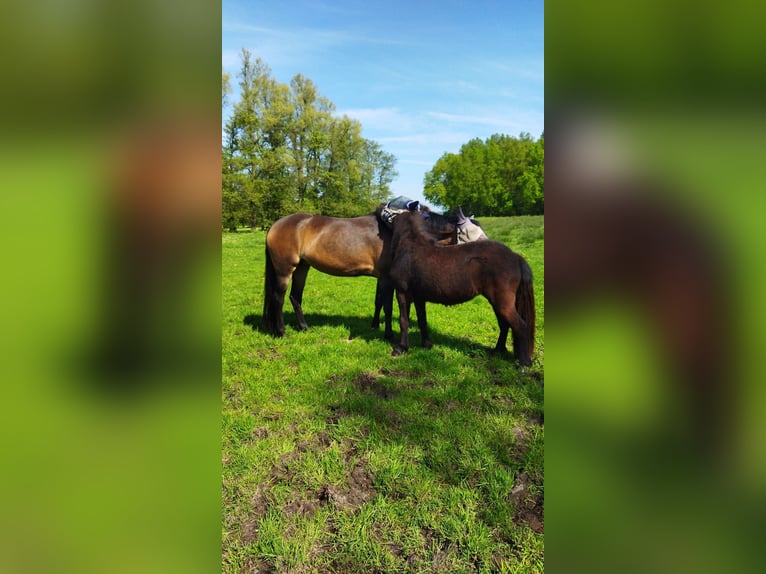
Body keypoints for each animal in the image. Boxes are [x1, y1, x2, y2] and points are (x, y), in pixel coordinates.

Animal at [260, 206, 460, 338]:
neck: (396, 232)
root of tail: (275, 225)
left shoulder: (382, 278)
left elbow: (378, 302)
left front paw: (375, 325)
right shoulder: (387, 279)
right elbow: (387, 306)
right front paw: (388, 334)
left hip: (302, 267)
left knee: (295, 297)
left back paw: (303, 327)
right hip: (285, 270)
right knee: (278, 298)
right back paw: (281, 332)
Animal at [388, 210, 536, 364]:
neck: (411, 247)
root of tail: (515, 256)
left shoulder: (402, 293)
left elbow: (403, 320)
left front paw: (400, 348)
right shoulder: (419, 297)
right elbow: (422, 319)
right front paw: (426, 344)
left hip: (503, 304)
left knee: (520, 327)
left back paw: (524, 363)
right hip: (498, 303)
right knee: (505, 325)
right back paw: (497, 351)